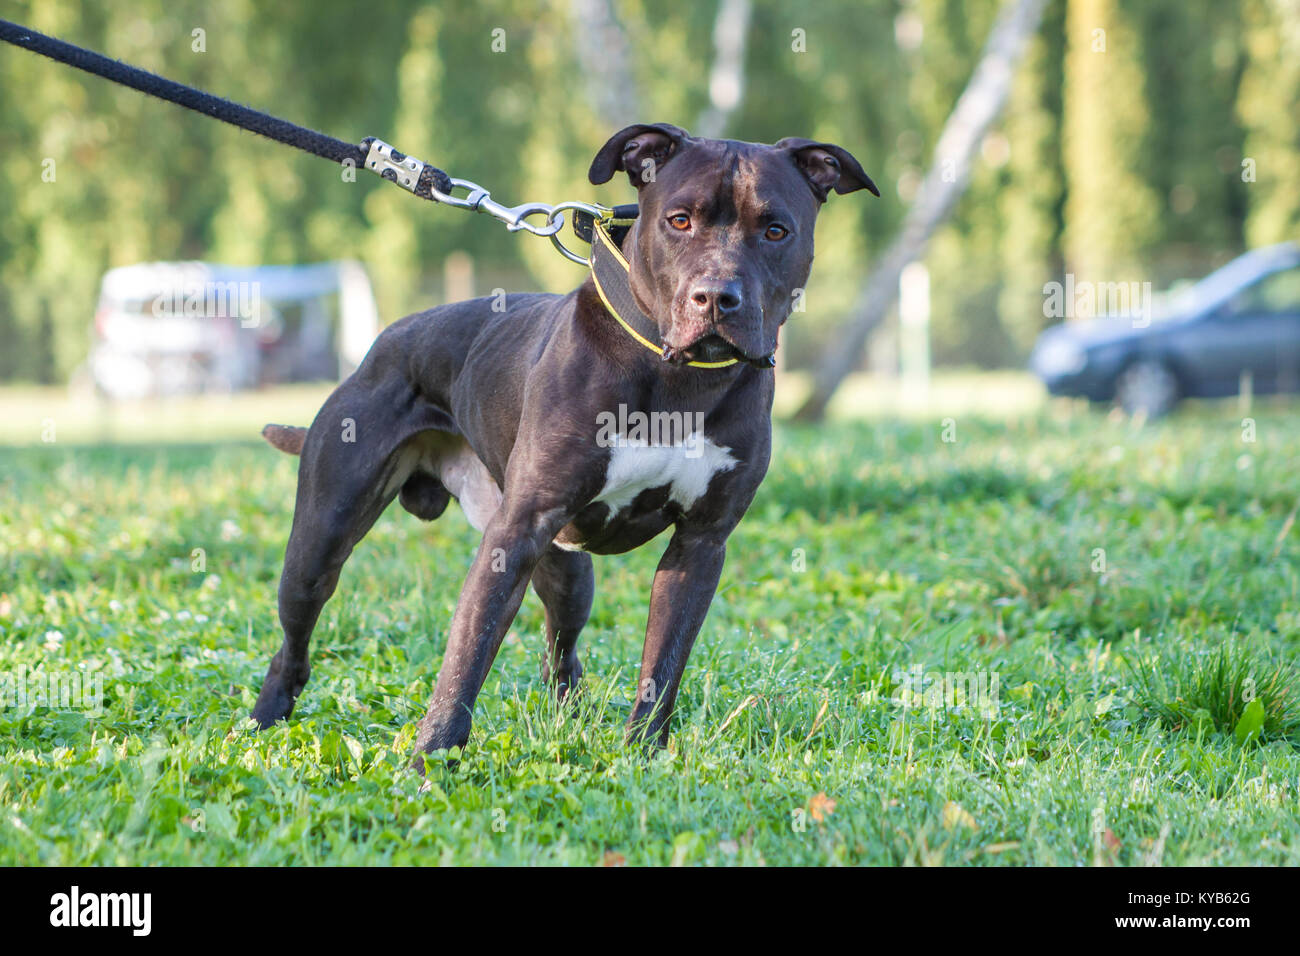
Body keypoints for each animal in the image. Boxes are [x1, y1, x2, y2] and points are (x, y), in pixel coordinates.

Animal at [245, 121, 873, 764]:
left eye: (775, 230)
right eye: (679, 220)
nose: (717, 297)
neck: (677, 375)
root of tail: (383, 345)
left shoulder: (700, 544)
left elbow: (663, 662)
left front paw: (644, 757)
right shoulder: (514, 535)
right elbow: (465, 659)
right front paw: (432, 761)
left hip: (570, 570)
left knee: (561, 653)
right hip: (321, 543)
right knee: (294, 641)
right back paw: (263, 723)